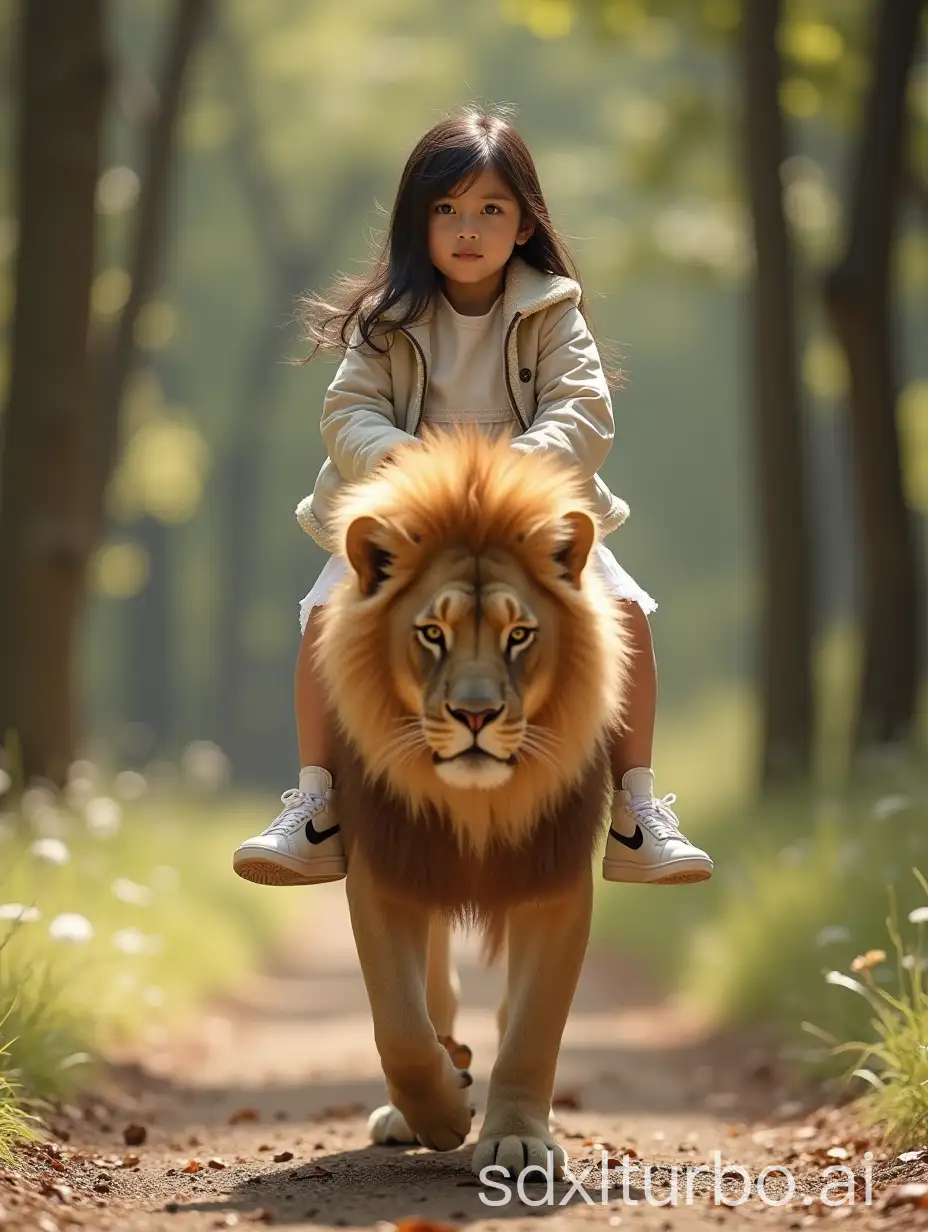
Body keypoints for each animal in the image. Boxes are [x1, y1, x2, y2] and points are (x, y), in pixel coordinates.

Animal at [311, 428, 630, 1177]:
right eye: (433, 634)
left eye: (520, 635)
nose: (476, 715)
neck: (478, 807)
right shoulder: (385, 871)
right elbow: (399, 1021)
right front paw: (439, 1114)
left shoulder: (554, 882)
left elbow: (533, 1028)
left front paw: (517, 1138)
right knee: (435, 998)